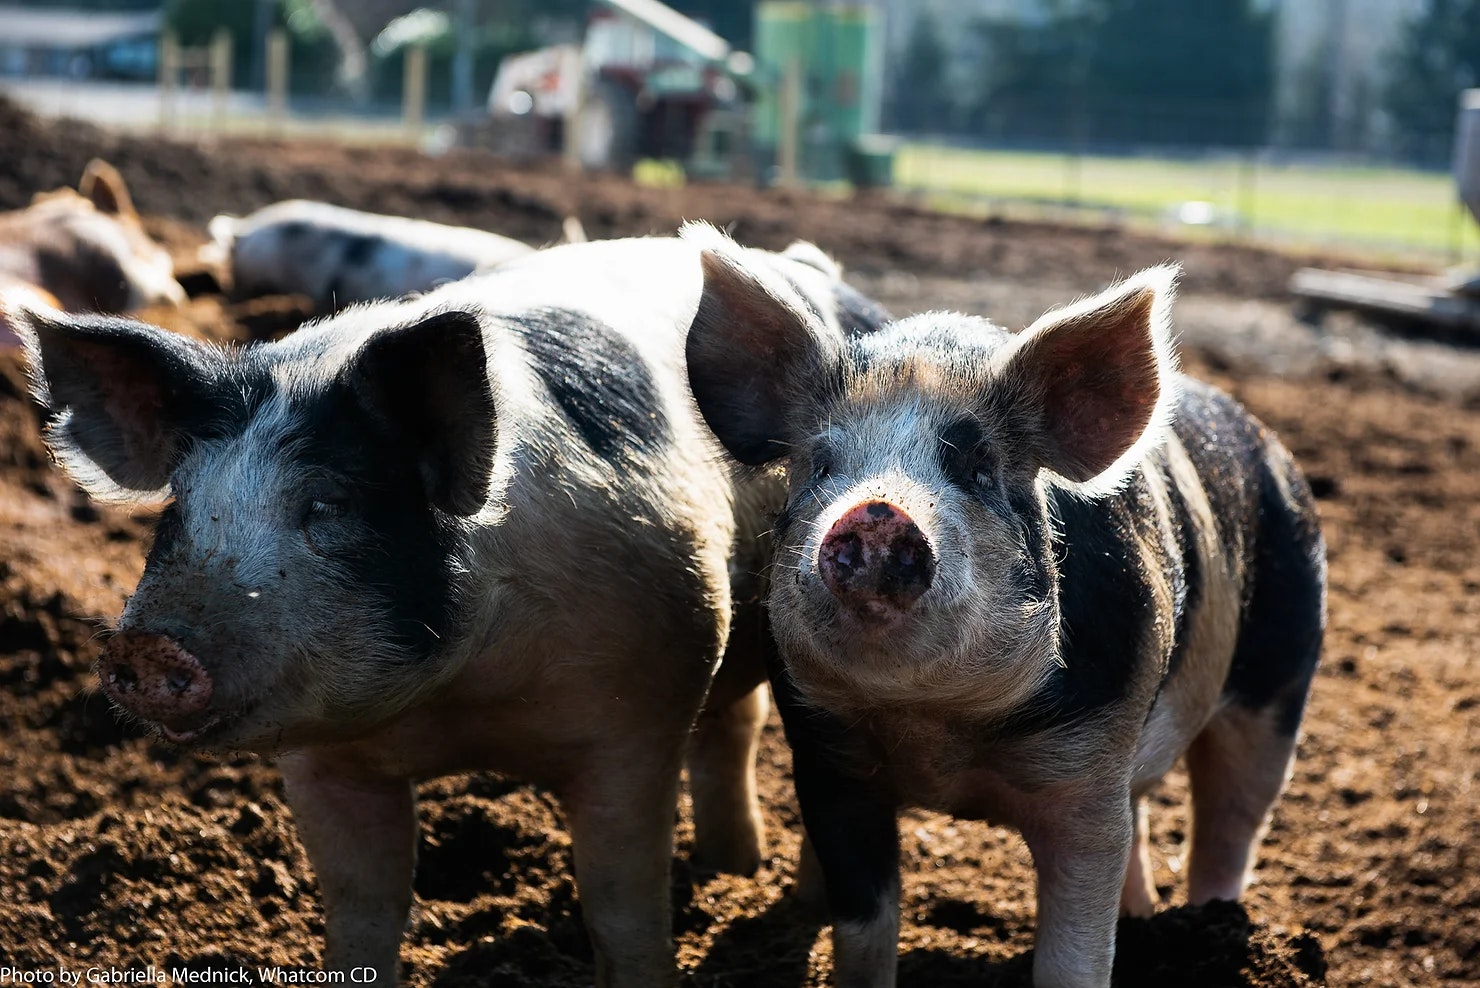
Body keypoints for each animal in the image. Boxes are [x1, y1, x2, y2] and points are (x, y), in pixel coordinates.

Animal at [14, 232, 891, 987]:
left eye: (328, 506)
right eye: (180, 511)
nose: (145, 649)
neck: (460, 704)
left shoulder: (639, 719)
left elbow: (622, 910)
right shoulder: (323, 762)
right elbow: (363, 912)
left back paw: (763, 885)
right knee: (730, 728)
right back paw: (730, 868)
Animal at [682, 224, 1326, 988]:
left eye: (977, 467)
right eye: (821, 465)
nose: (875, 511)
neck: (934, 730)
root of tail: (1268, 441)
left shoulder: (1087, 774)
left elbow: (1077, 942)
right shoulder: (828, 764)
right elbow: (865, 930)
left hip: (1282, 673)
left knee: (1234, 817)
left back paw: (1218, 927)